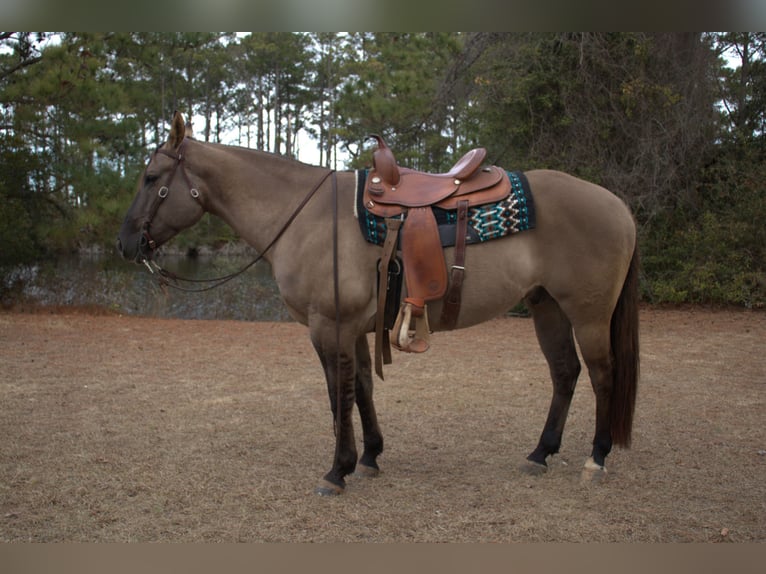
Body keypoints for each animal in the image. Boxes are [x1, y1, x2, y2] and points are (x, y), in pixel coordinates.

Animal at [117, 111, 639, 495]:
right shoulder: (354, 327)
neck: (307, 217)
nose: (125, 243)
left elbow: (339, 392)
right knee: (565, 373)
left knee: (602, 374)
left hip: (589, 314)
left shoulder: (328, 326)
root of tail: (618, 205)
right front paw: (368, 456)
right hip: (546, 306)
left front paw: (337, 470)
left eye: (150, 177)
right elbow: (363, 388)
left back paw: (596, 458)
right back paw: (540, 453)